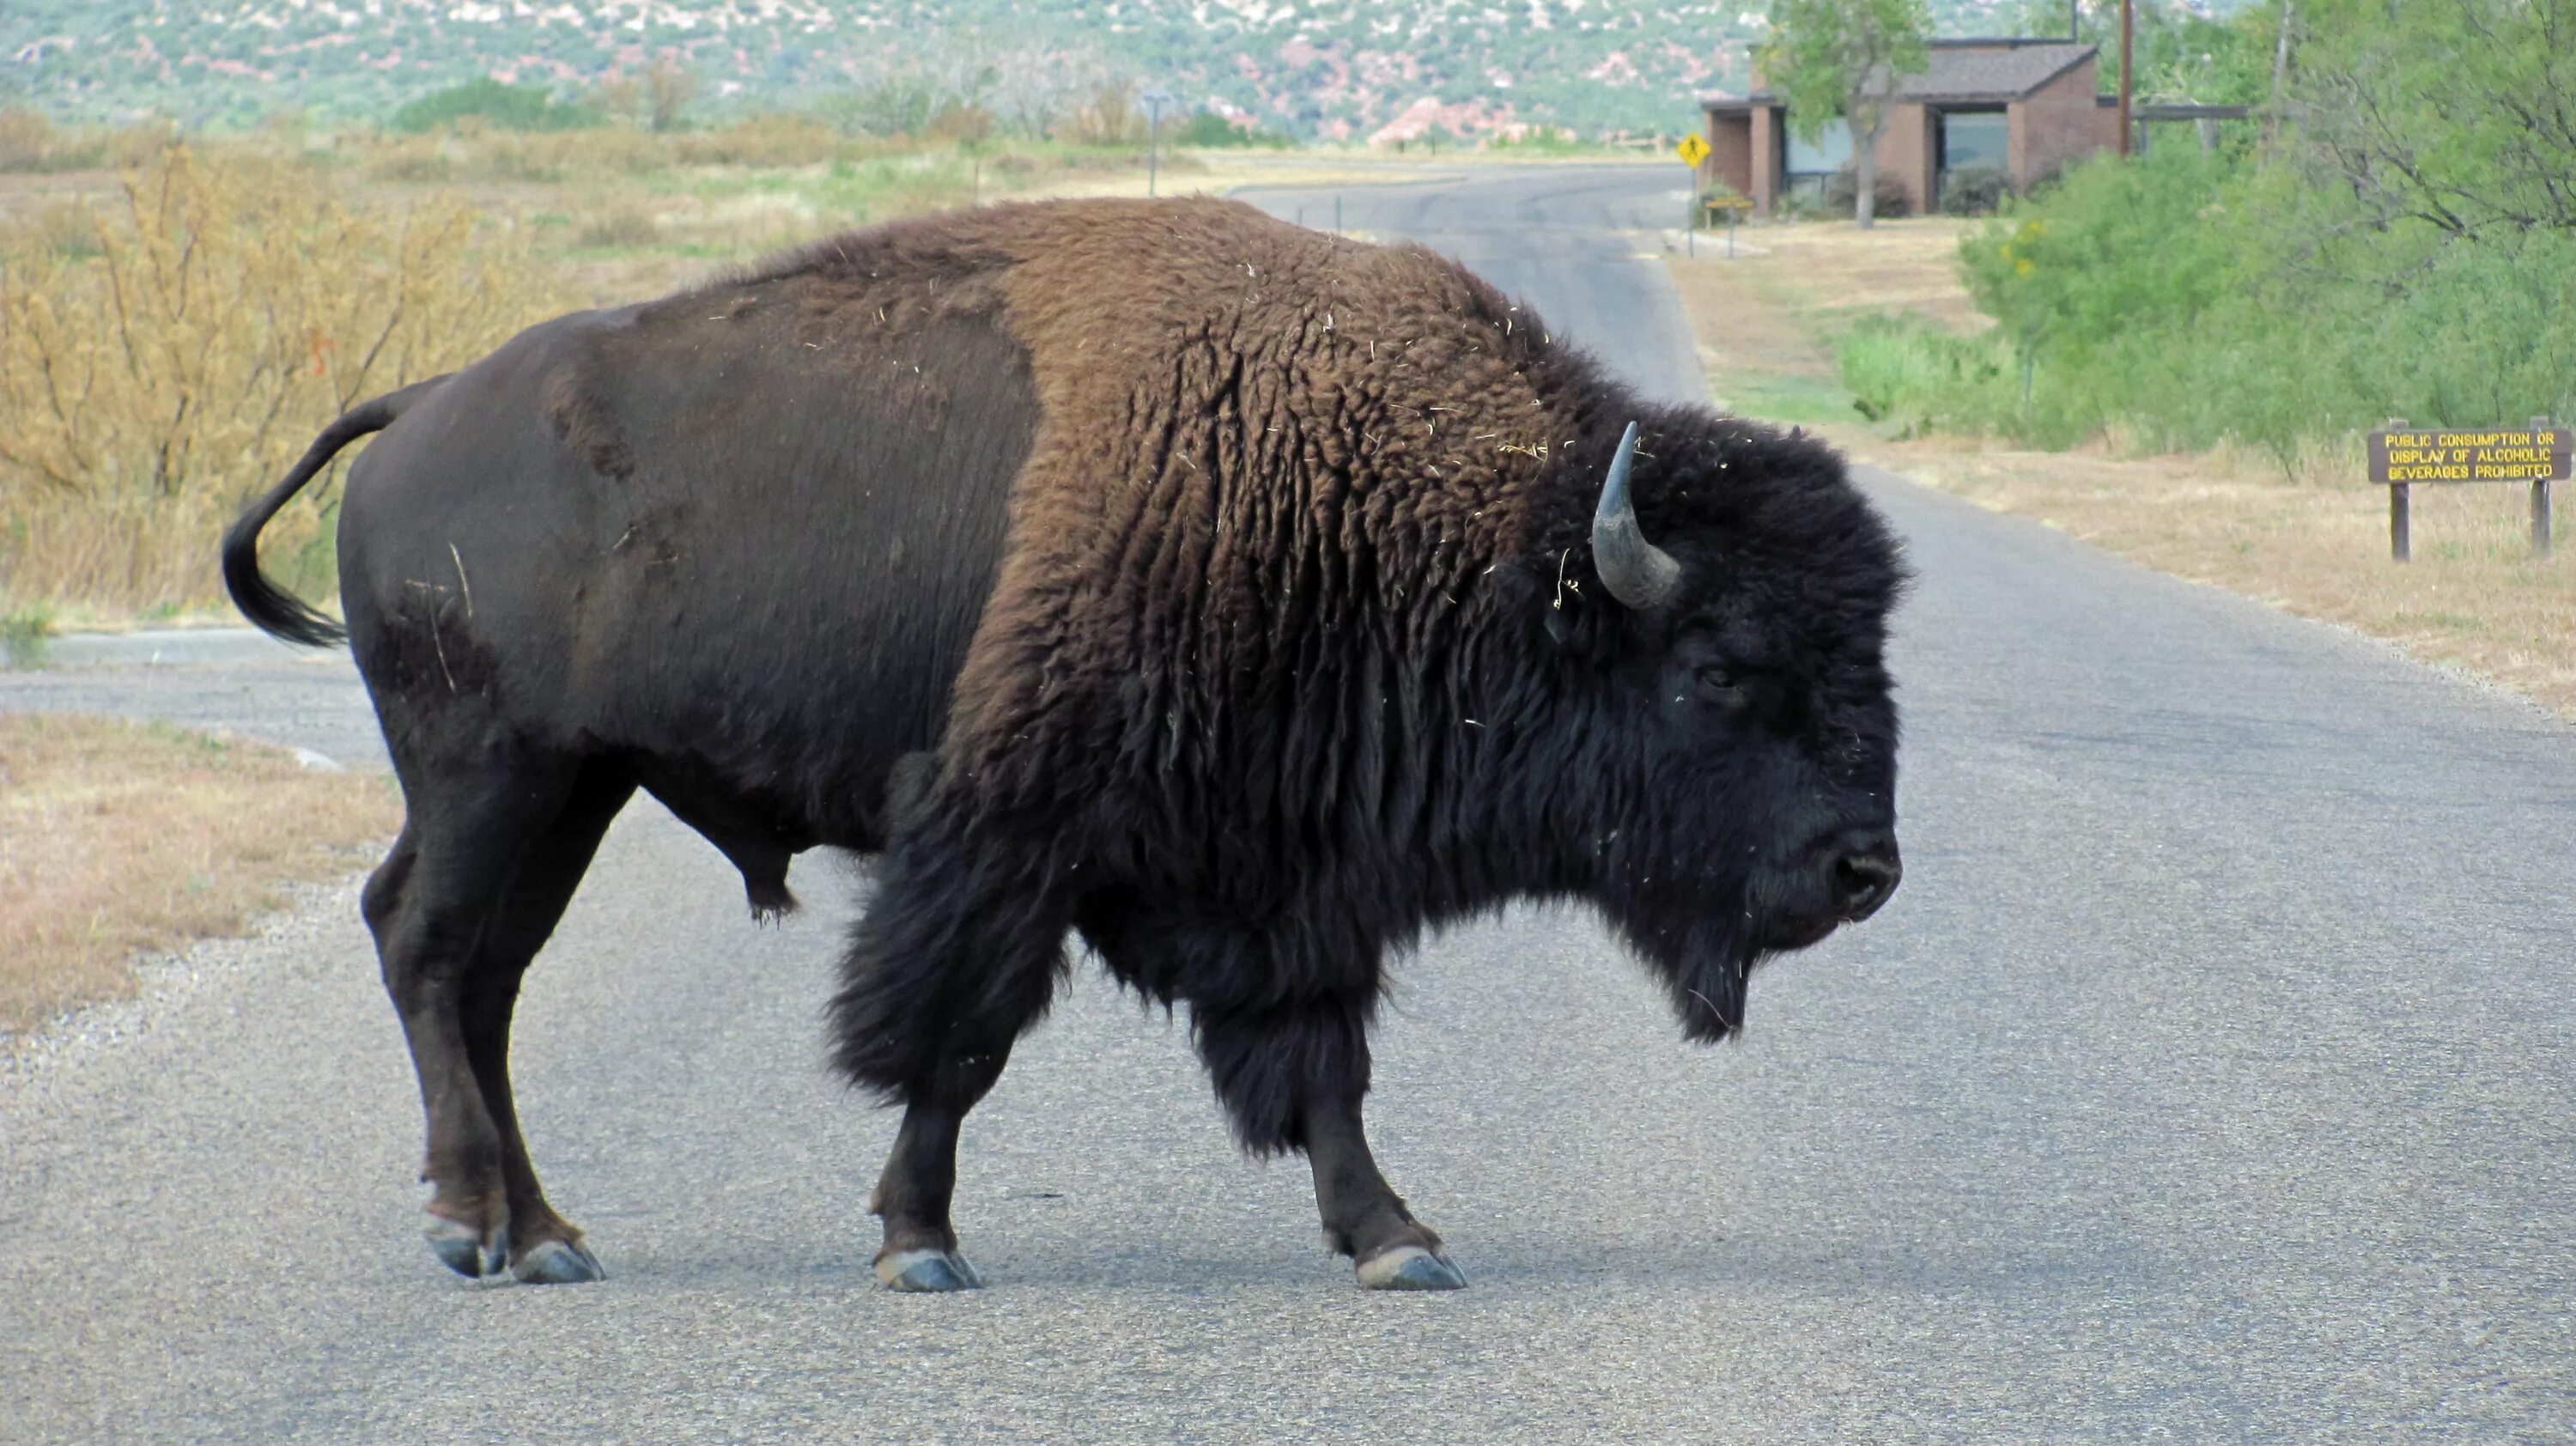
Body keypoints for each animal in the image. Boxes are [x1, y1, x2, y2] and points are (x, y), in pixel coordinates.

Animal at [227, 197, 1917, 1288]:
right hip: (490, 770)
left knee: (482, 973)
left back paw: (546, 1236)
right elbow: (955, 1042)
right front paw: (919, 1245)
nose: (1867, 867)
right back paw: (471, 1227)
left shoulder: (1288, 875)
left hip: (570, 785)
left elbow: (1326, 1066)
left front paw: (1396, 1241)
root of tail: (419, 407)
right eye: (1718, 667)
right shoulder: (1010, 838)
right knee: (430, 947)